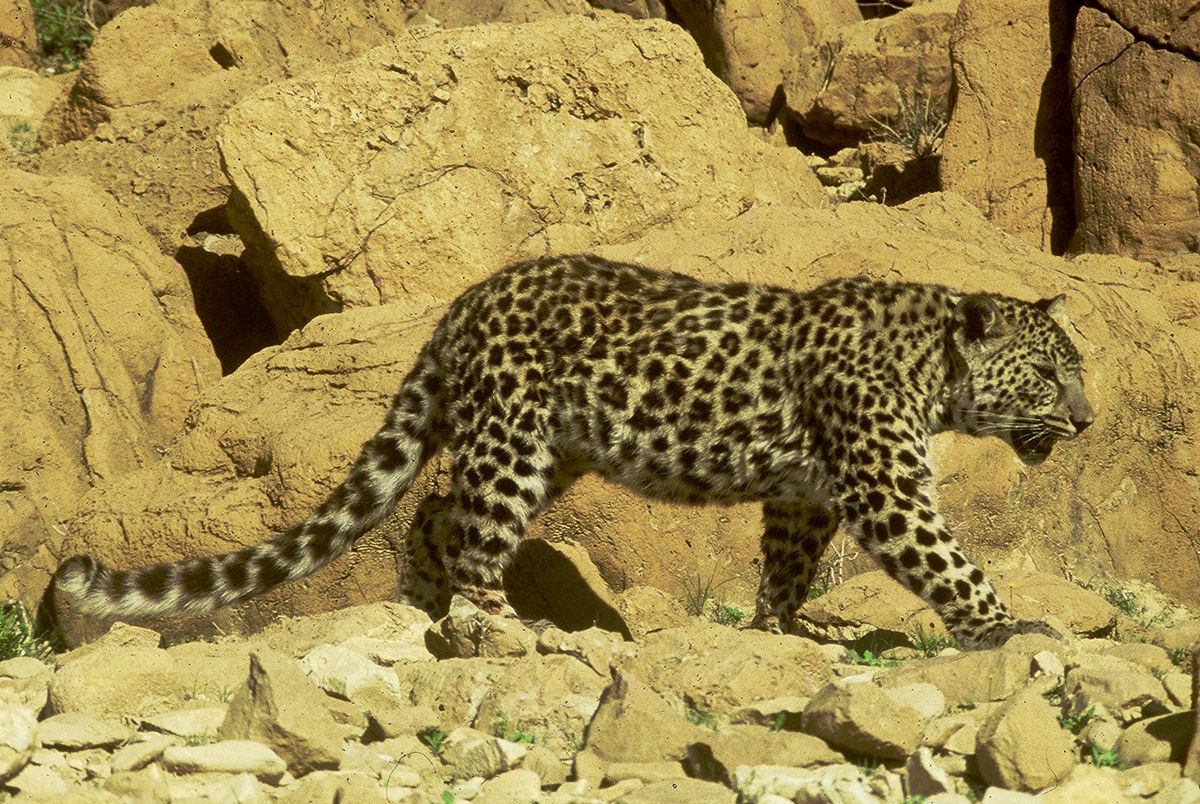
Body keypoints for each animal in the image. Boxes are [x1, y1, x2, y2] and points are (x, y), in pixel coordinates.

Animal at [51, 255, 1094, 652]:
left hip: (550, 452)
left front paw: (780, 629)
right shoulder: (885, 487)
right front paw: (1012, 629)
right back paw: (503, 627)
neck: (932, 370)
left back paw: (428, 607)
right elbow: (949, 563)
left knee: (435, 511)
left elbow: (789, 566)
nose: (1087, 422)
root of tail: (463, 303)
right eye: (1049, 374)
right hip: (514, 443)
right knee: (472, 532)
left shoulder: (807, 494)